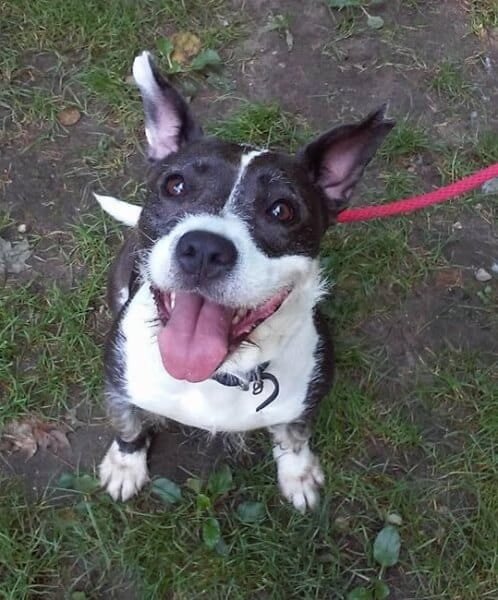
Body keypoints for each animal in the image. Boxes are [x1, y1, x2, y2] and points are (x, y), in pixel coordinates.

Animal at [95, 50, 394, 510]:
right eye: (175, 185)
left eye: (282, 211)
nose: (204, 248)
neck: (222, 374)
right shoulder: (118, 386)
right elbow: (129, 425)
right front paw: (126, 464)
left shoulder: (304, 403)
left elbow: (294, 436)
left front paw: (298, 474)